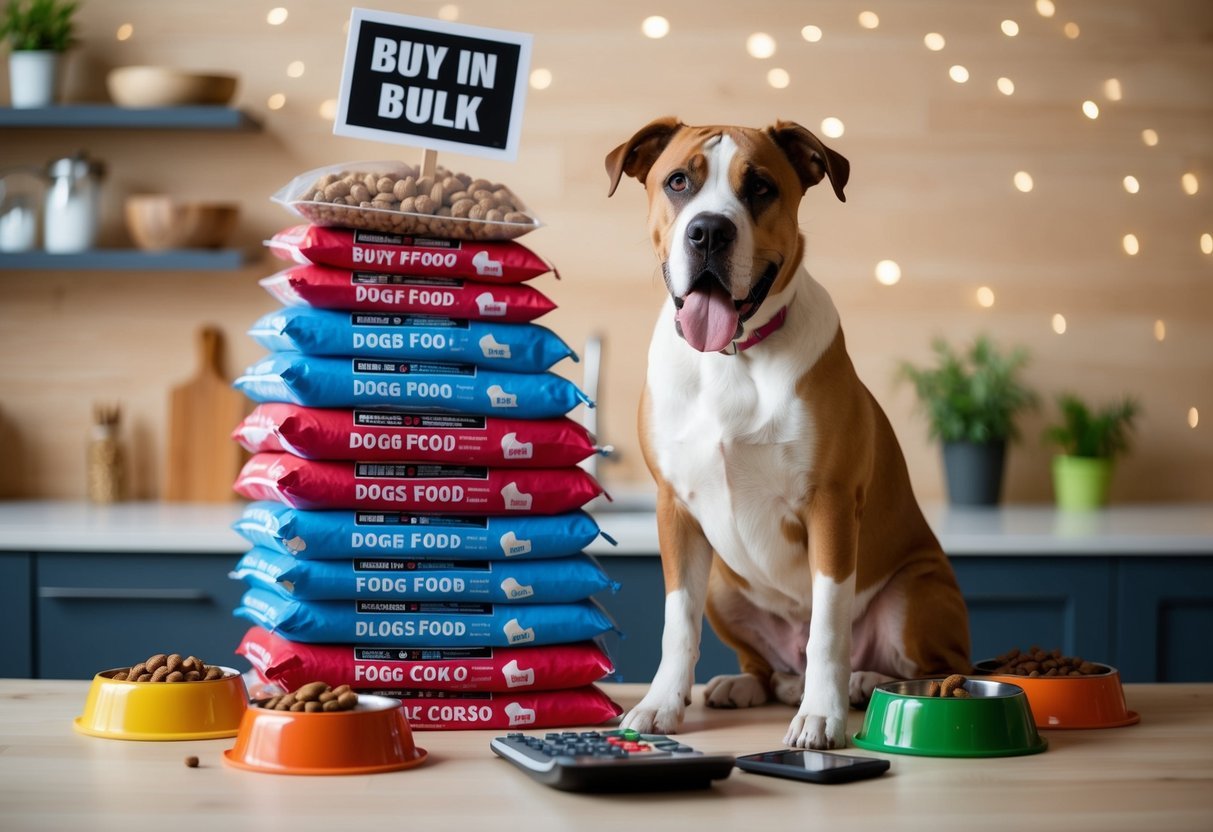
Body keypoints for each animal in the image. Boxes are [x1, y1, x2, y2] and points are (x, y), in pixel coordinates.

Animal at [606, 117, 975, 751]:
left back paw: (862, 682)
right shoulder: (674, 509)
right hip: (723, 586)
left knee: (938, 668)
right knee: (765, 664)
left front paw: (822, 715)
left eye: (760, 187)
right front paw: (661, 704)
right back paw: (747, 685)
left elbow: (829, 624)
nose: (709, 231)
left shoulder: (830, 506)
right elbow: (677, 624)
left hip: (916, 595)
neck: (731, 357)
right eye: (678, 181)